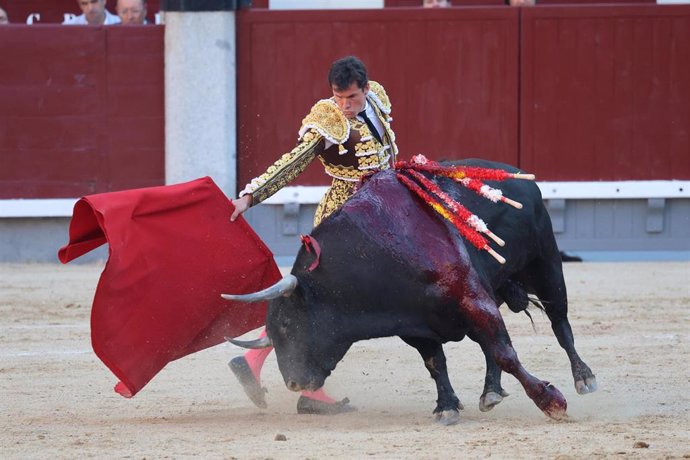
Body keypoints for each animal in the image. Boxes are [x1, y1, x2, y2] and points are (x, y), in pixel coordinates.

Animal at [224, 160, 592, 426]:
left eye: (287, 324)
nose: (293, 384)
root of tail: (521, 177)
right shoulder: (415, 324)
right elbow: (436, 362)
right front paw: (446, 407)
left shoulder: (472, 299)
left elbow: (506, 353)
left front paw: (552, 402)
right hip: (497, 288)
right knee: (491, 344)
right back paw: (490, 393)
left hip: (546, 266)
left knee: (560, 323)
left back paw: (583, 378)